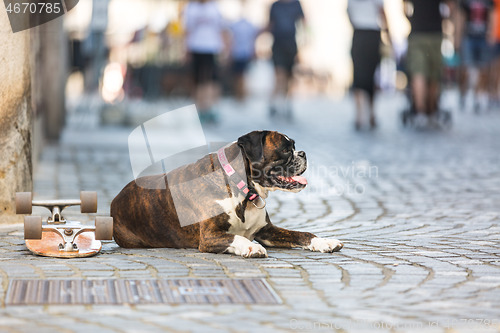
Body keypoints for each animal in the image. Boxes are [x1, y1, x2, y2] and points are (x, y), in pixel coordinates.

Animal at [111, 130, 342, 256]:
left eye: (294, 146)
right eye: (286, 149)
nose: (303, 153)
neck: (243, 191)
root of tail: (115, 199)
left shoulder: (267, 231)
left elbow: (302, 234)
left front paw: (324, 241)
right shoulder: (209, 237)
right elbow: (236, 237)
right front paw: (251, 248)